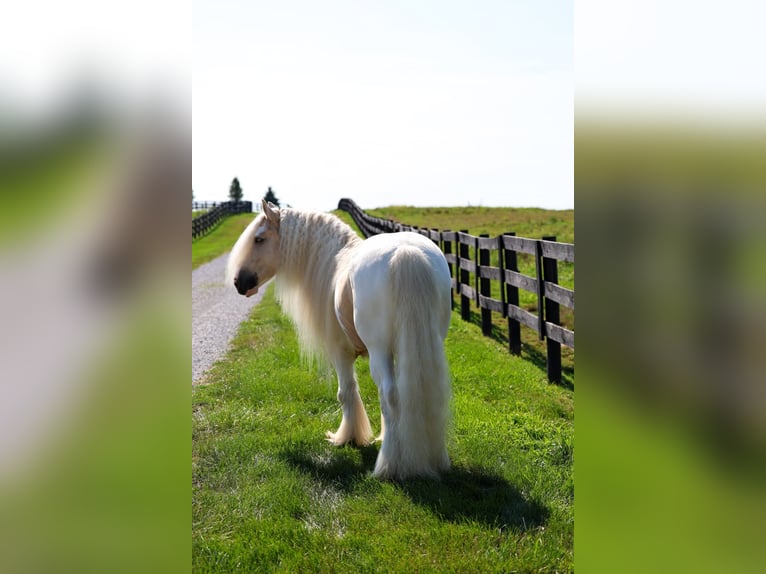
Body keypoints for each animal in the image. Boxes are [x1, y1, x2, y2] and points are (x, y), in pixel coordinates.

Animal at [227, 199, 452, 480]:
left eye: (259, 239)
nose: (239, 282)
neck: (334, 261)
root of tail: (406, 253)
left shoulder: (340, 353)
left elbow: (346, 392)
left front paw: (348, 438)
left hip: (380, 352)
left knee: (389, 396)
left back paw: (387, 466)